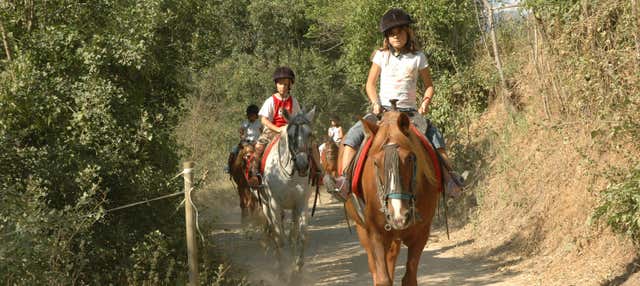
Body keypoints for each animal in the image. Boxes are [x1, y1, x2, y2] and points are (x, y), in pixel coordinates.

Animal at [258, 107, 316, 278]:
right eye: (290, 136)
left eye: (310, 134)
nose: (303, 164)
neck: (289, 174)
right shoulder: (274, 204)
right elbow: (279, 238)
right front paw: (281, 271)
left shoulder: (301, 203)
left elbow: (301, 236)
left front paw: (296, 269)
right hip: (266, 206)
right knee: (274, 232)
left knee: (292, 235)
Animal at [342, 110, 442, 286]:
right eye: (375, 162)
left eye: (409, 158)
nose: (399, 215)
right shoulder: (376, 233)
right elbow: (382, 279)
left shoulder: (421, 233)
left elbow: (409, 278)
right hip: (363, 230)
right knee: (374, 266)